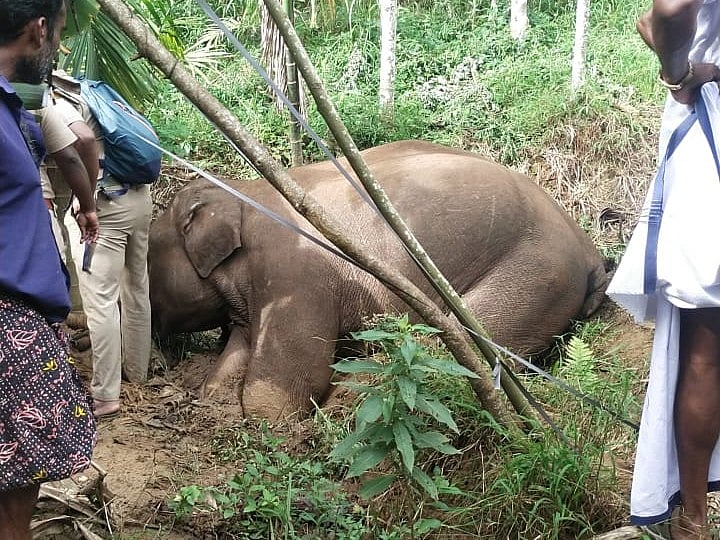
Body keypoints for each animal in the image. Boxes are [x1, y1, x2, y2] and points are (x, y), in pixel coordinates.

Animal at [149, 140, 608, 420]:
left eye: (145, 256)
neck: (243, 191)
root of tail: (592, 254)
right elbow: (238, 350)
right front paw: (212, 402)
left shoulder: (296, 272)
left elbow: (295, 376)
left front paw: (265, 422)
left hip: (535, 274)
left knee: (457, 342)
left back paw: (349, 405)